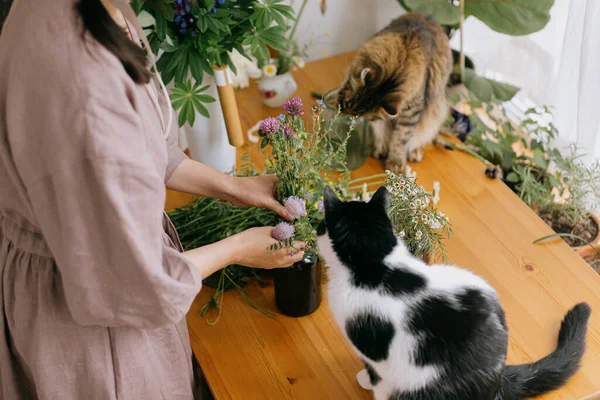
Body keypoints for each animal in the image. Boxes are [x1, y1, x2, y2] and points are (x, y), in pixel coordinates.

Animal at [318, 187, 592, 400]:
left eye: (321, 224)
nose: (317, 226)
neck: (376, 263)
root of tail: (498, 381)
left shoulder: (374, 349)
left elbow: (375, 371)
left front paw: (365, 379)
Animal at [338, 13, 450, 170]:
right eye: (347, 106)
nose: (347, 117)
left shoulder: (411, 113)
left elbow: (401, 139)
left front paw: (395, 162)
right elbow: (380, 131)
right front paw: (379, 150)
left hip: (436, 114)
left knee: (420, 137)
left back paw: (415, 152)